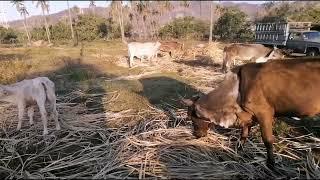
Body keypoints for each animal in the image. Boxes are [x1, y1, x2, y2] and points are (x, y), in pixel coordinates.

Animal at [181, 58, 320, 169]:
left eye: (192, 118)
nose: (196, 135)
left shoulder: (264, 112)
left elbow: (267, 140)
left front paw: (271, 164)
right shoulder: (249, 115)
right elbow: (243, 134)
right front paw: (238, 150)